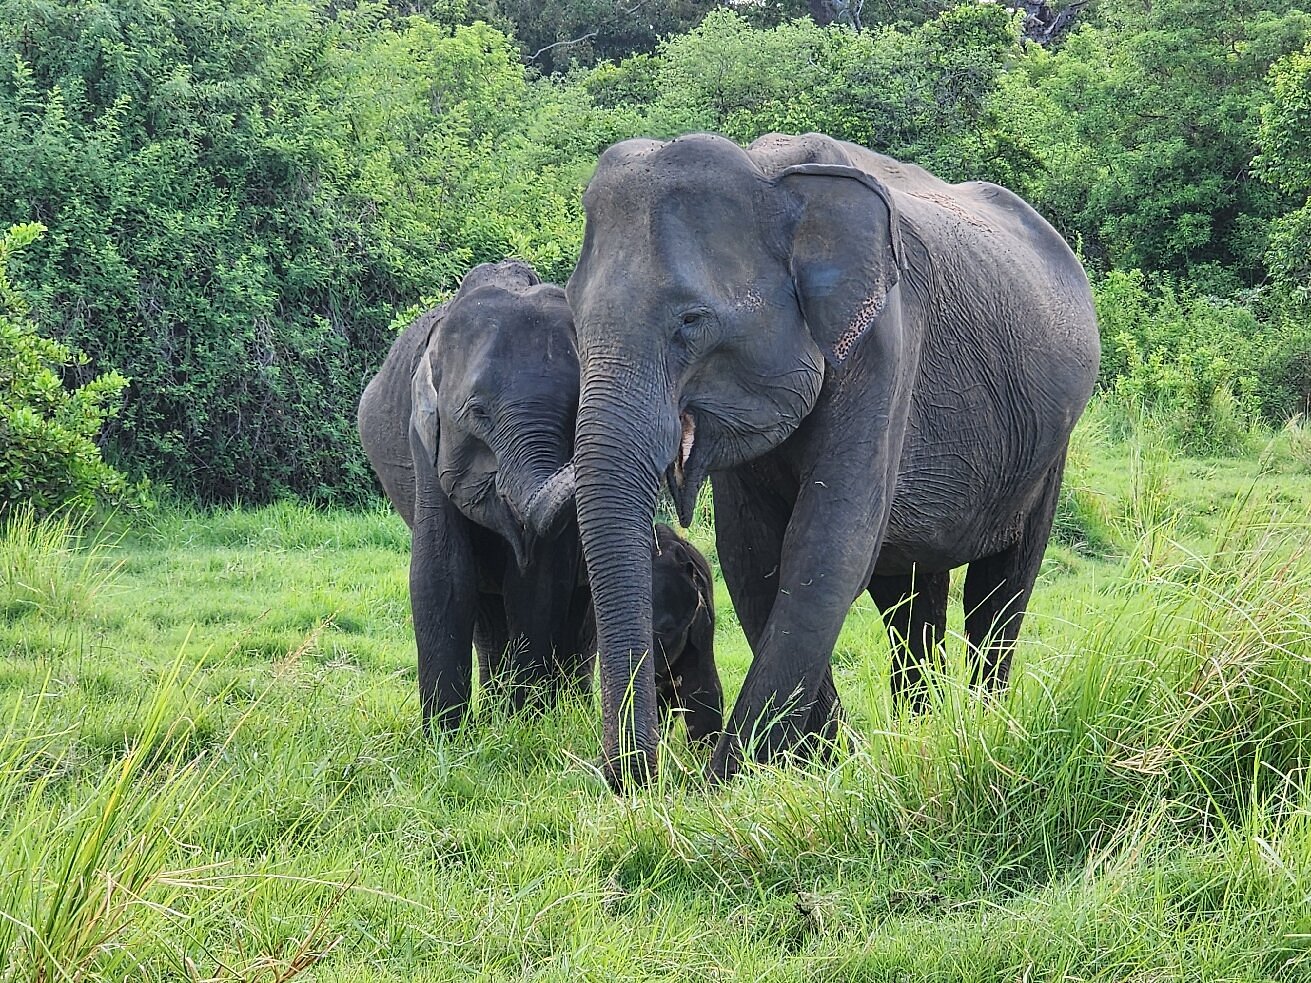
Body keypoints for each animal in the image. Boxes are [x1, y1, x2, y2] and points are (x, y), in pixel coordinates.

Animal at [357, 260, 590, 729]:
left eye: (574, 411)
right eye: (478, 413)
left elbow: (537, 582)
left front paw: (526, 726)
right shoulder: (423, 438)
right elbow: (442, 574)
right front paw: (444, 736)